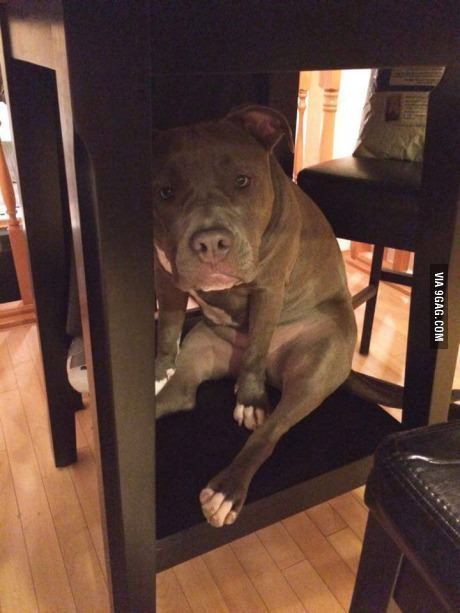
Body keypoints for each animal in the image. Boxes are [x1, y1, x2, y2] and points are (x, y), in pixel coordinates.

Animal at [153, 105, 358, 524]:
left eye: (242, 180)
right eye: (165, 192)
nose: (211, 243)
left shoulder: (269, 289)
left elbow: (257, 348)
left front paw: (249, 398)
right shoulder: (166, 278)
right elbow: (167, 330)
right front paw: (159, 368)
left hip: (316, 371)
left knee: (269, 433)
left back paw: (226, 491)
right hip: (200, 346)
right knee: (181, 394)